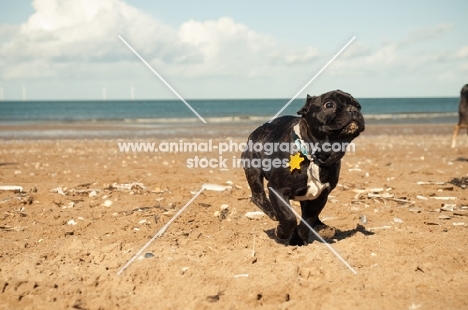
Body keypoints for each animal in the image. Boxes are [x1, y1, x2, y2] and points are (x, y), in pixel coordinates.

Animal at [241, 89, 366, 245]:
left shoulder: (320, 197)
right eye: (329, 104)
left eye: (358, 106)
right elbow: (288, 217)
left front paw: (298, 240)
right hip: (253, 169)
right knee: (258, 195)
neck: (315, 156)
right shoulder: (277, 190)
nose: (353, 109)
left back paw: (321, 226)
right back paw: (273, 213)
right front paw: (281, 232)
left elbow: (307, 220)